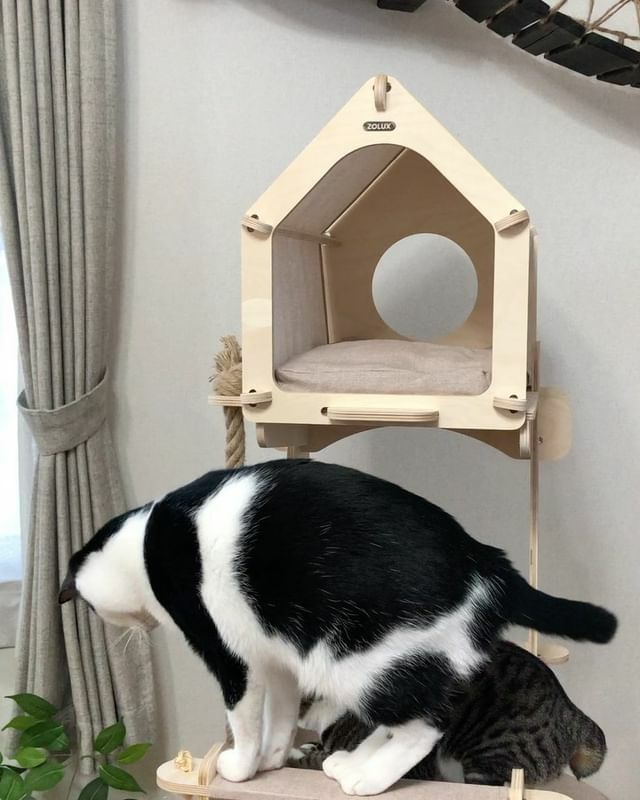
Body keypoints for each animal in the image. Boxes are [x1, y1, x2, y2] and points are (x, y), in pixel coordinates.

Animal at [290, 641, 606, 787]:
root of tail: (571, 709)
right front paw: (306, 746)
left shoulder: (418, 766)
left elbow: (317, 759)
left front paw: (297, 756)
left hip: (490, 757)